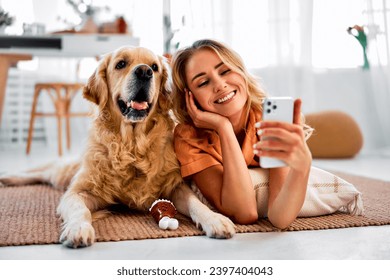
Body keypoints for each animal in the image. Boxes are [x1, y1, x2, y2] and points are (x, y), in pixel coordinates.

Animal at [0, 46, 235, 247]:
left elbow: (196, 203)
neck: (131, 145)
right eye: (121, 64)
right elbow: (79, 210)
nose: (144, 72)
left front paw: (216, 219)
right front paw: (78, 228)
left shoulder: (175, 186)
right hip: (64, 173)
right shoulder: (78, 191)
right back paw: (8, 177)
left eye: (155, 67)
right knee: (41, 171)